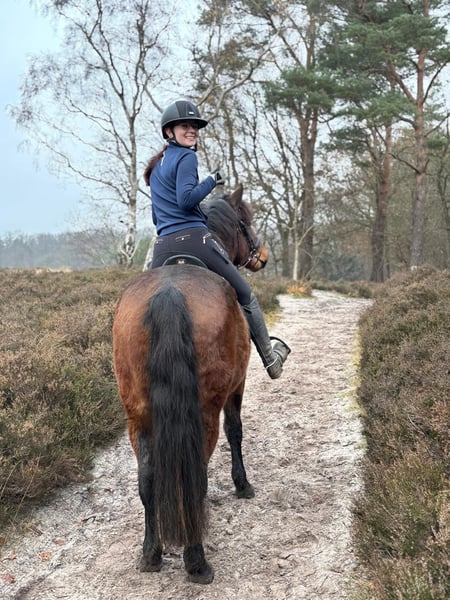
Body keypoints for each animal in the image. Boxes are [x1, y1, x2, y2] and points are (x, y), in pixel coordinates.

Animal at [112, 184, 269, 584]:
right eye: (245, 220)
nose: (260, 256)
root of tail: (169, 293)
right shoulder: (237, 387)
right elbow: (236, 431)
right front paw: (242, 485)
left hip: (138, 415)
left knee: (147, 479)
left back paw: (151, 554)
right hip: (203, 412)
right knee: (196, 475)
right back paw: (197, 561)